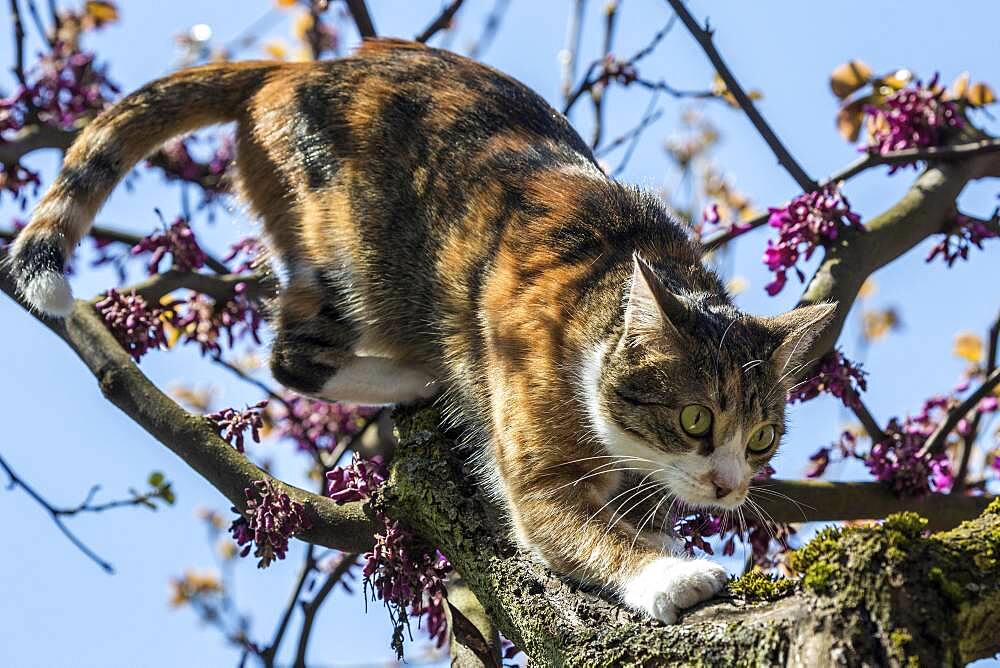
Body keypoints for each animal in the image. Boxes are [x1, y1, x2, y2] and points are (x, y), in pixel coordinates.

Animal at [9, 37, 836, 620]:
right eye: (696, 419)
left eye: (763, 438)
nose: (730, 486)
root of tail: (298, 69)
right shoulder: (535, 469)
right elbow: (575, 529)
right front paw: (672, 569)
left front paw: (660, 529)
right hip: (350, 254)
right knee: (294, 355)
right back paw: (424, 372)